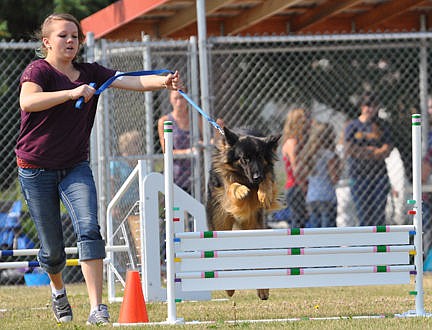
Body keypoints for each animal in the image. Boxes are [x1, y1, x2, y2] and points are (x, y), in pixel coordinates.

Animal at [207, 125, 282, 300]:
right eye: (244, 159)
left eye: (260, 157)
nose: (256, 177)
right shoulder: (224, 179)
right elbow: (230, 183)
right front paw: (240, 190)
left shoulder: (267, 173)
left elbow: (268, 181)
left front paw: (264, 194)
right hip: (221, 226)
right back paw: (229, 288)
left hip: (254, 227)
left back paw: (263, 290)